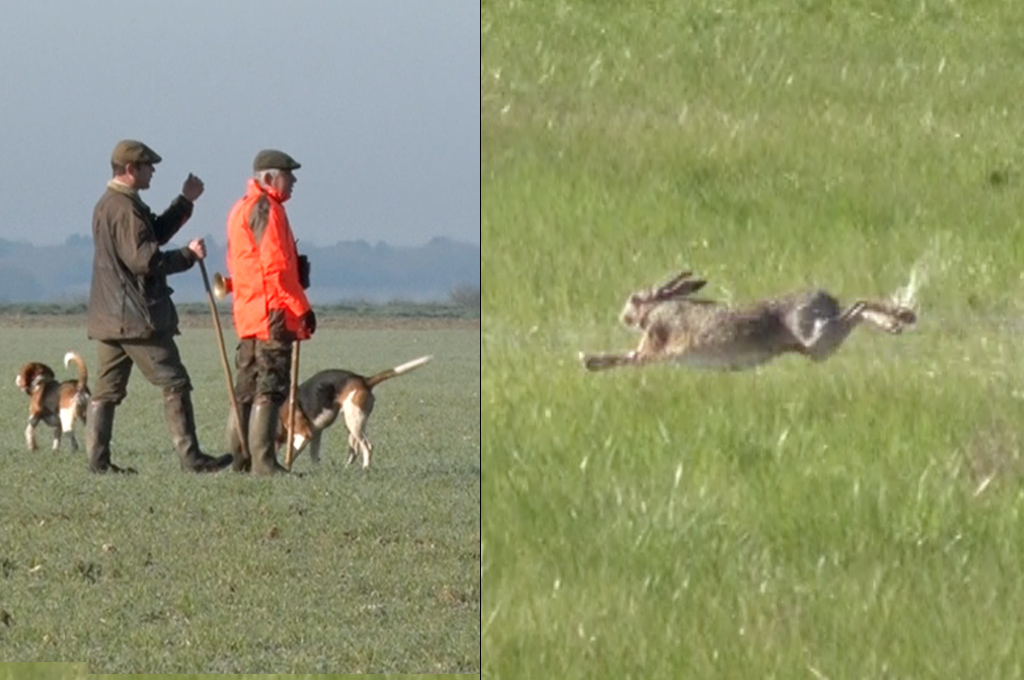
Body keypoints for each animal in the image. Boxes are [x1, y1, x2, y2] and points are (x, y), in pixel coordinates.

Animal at [276, 356, 432, 466]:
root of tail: (364, 380)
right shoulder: (315, 434)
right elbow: (314, 456)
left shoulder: (304, 434)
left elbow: (291, 455)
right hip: (353, 423)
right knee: (355, 451)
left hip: (353, 422)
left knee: (367, 447)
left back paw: (365, 469)